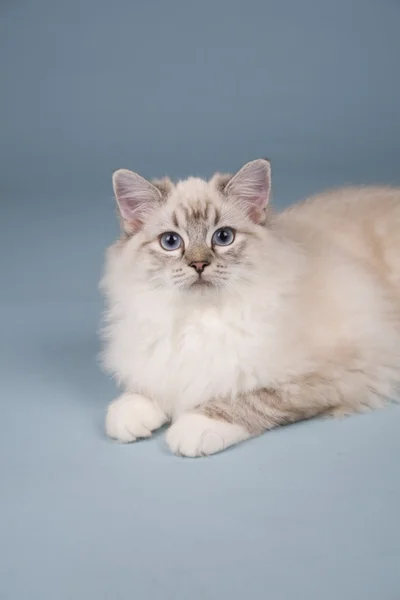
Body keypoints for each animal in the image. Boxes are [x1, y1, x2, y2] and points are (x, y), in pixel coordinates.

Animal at [101, 157, 400, 458]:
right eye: (171, 242)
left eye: (223, 237)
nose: (198, 264)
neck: (200, 318)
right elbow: (146, 388)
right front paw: (130, 414)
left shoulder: (331, 375)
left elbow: (248, 400)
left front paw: (195, 428)